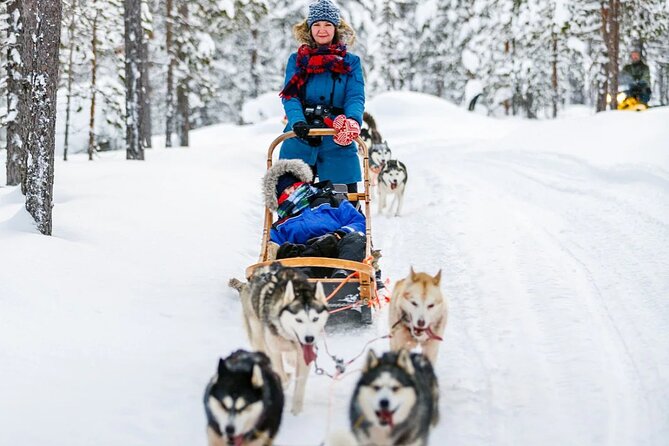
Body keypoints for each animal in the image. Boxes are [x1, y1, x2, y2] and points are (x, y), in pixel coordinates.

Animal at [228, 264, 328, 414]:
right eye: (298, 319)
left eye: (315, 319)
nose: (309, 338)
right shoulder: (274, 351)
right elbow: (281, 375)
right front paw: (284, 382)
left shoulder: (303, 355)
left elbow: (300, 382)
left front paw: (297, 411)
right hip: (258, 336)